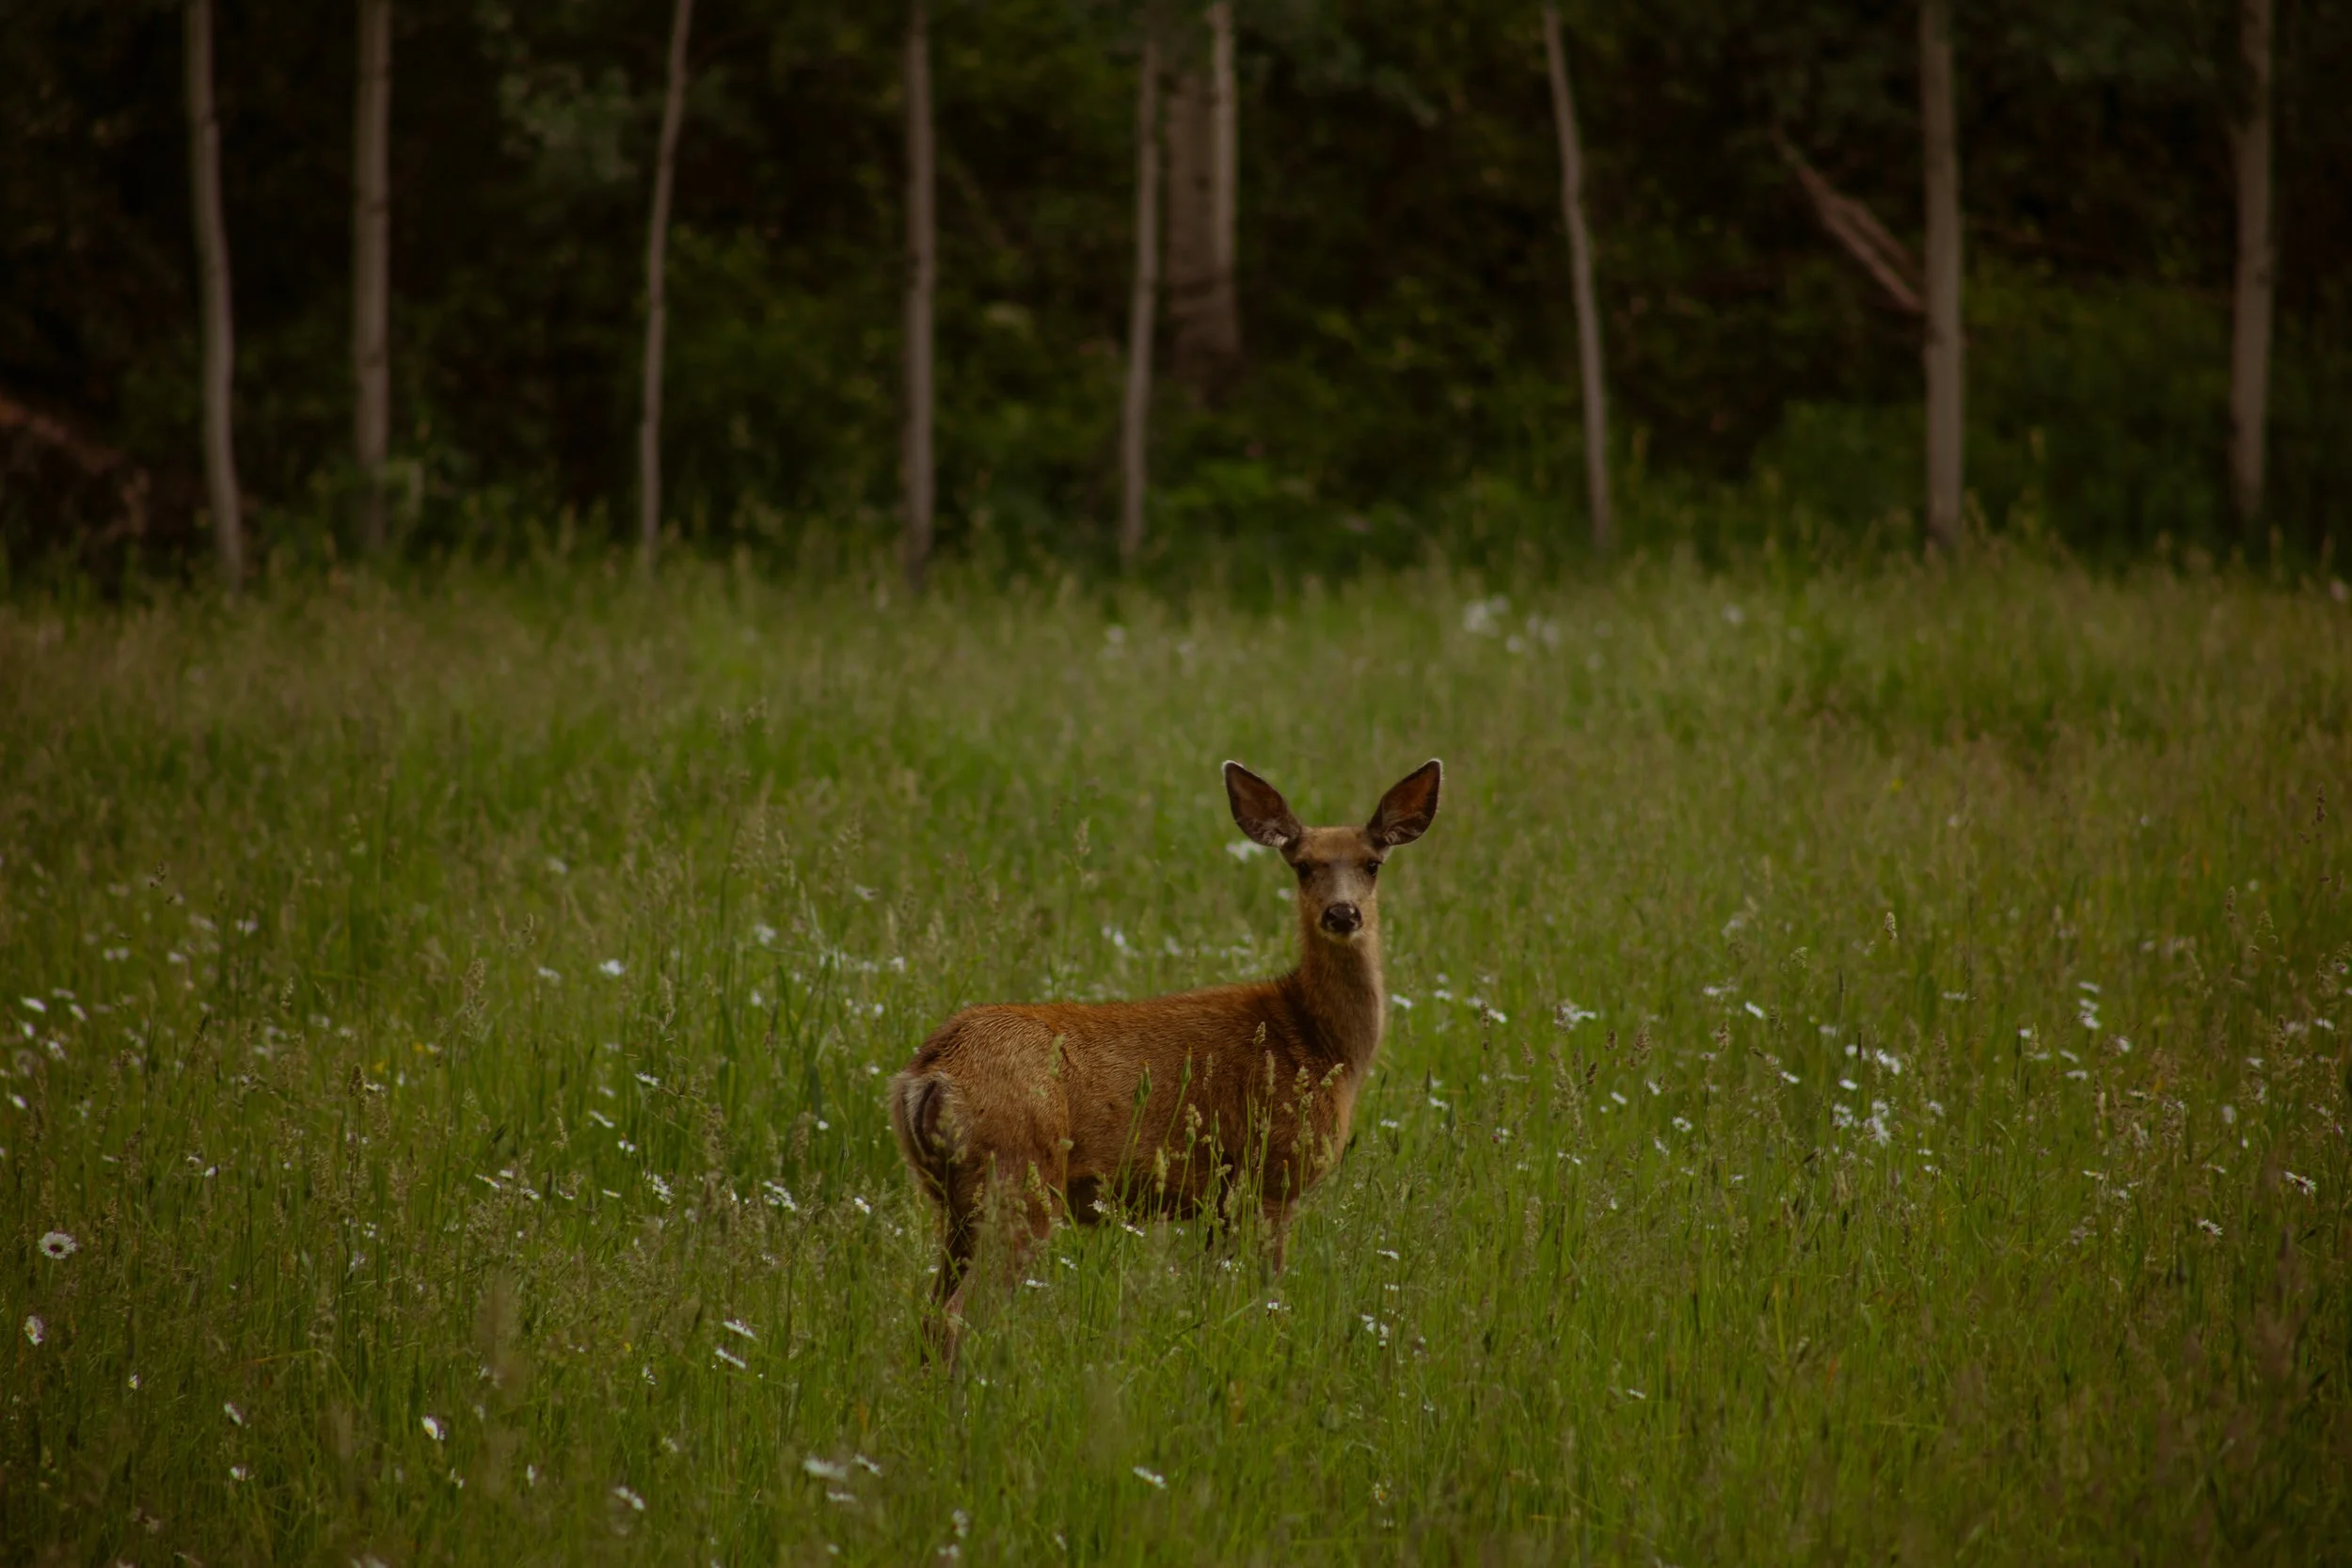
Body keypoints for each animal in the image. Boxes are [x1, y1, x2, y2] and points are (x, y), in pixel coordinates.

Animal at [888, 759, 1441, 1357]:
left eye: (1372, 863)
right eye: (1303, 866)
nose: (1343, 913)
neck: (1319, 1043)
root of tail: (928, 1073)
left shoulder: (1221, 1199)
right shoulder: (1273, 1174)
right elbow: (1266, 1299)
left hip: (952, 1198)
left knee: (928, 1312)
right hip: (1019, 1176)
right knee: (956, 1316)